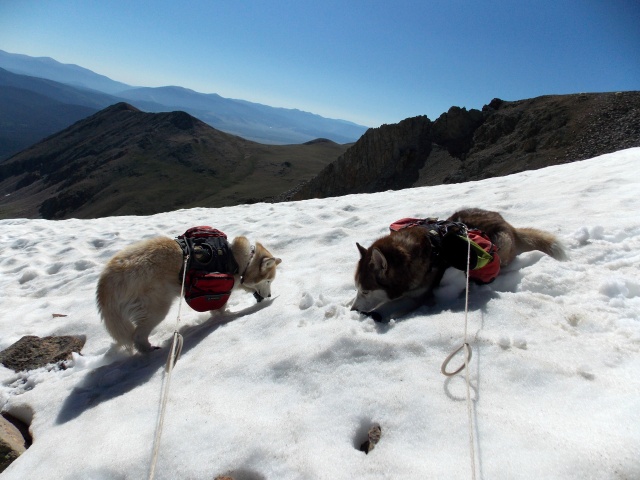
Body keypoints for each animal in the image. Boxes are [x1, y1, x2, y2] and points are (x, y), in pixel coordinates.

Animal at [96, 234, 282, 350]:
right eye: (268, 281)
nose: (269, 296)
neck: (240, 260)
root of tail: (109, 276)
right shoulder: (222, 290)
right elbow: (220, 308)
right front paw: (227, 315)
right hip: (156, 309)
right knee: (138, 336)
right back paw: (149, 350)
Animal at [352, 207, 568, 322]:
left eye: (366, 291)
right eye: (357, 288)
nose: (354, 310)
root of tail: (509, 226)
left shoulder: (422, 294)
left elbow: (398, 303)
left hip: (502, 244)